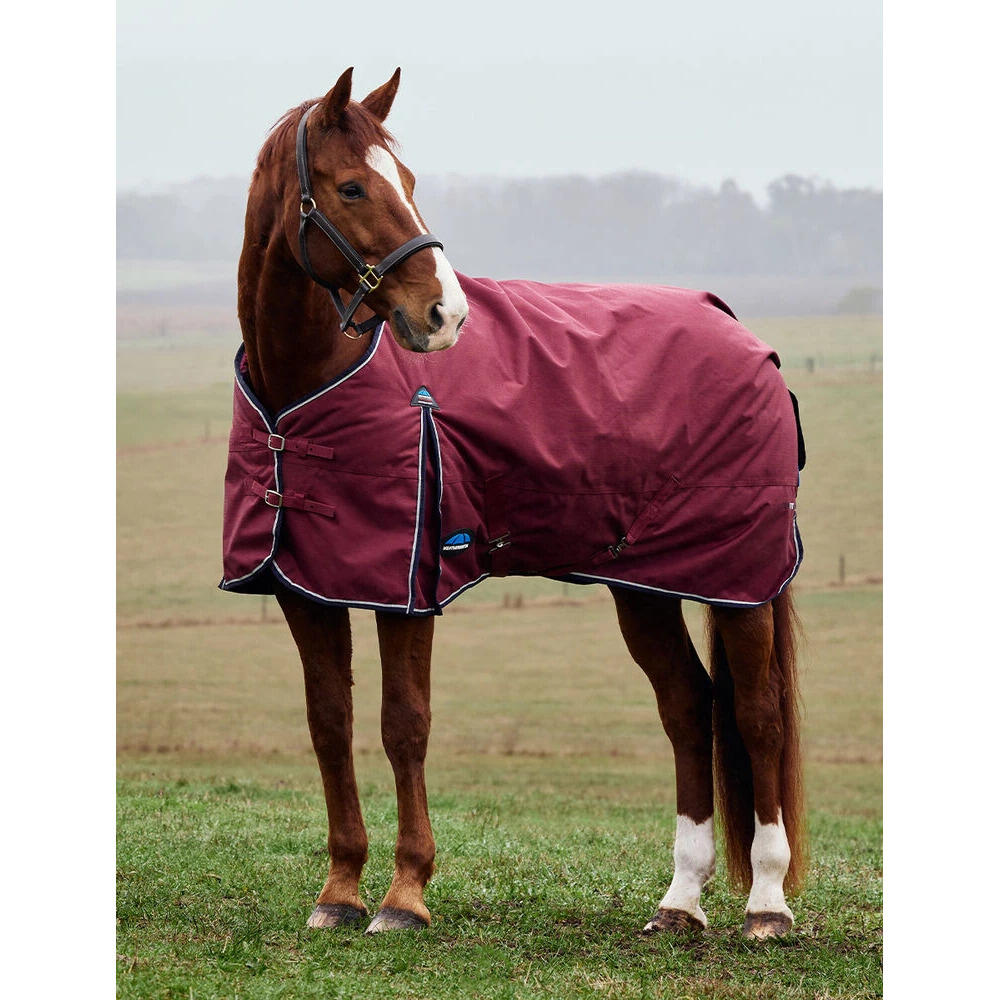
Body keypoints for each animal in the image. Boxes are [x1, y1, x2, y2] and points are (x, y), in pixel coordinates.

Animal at [226, 67, 806, 940]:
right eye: (353, 186)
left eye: (409, 181)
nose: (444, 314)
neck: (302, 393)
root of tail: (743, 337)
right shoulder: (307, 585)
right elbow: (330, 723)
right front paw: (339, 892)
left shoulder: (409, 589)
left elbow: (404, 725)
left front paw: (404, 896)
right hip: (645, 586)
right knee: (687, 705)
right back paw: (679, 903)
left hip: (740, 580)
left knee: (757, 713)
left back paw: (766, 904)